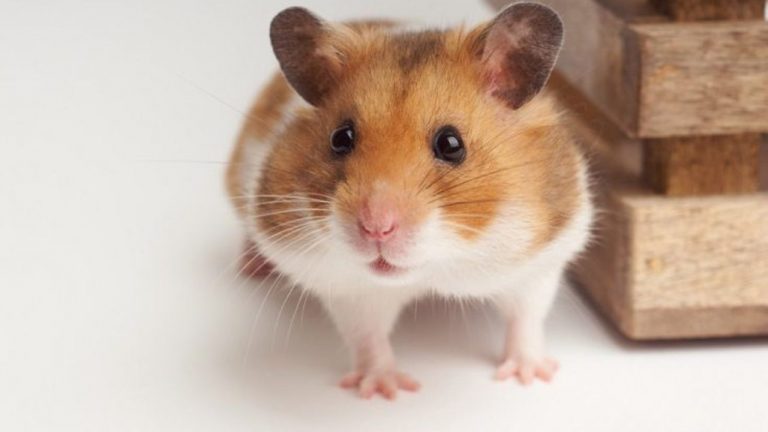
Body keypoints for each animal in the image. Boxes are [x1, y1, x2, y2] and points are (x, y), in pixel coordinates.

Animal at [226, 2, 593, 400]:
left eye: (451, 144)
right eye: (341, 138)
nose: (376, 228)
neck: (437, 267)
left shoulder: (539, 262)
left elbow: (526, 318)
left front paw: (530, 376)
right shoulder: (349, 288)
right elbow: (368, 337)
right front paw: (385, 391)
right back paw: (251, 266)